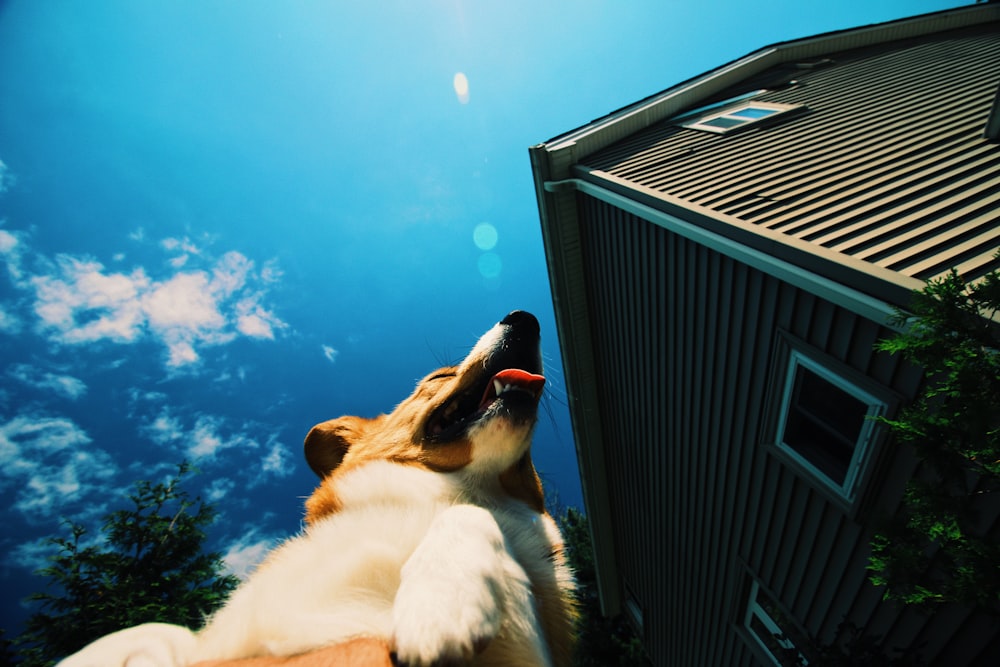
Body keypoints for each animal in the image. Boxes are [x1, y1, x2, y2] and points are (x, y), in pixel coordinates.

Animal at [60, 314, 580, 667]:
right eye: (437, 377)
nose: (526, 318)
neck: (444, 491)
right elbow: (155, 630)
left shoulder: (522, 648)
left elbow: (470, 515)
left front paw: (441, 599)